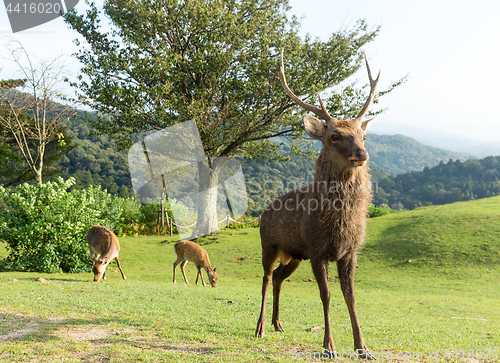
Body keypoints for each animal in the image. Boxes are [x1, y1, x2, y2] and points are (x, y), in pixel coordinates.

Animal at [256, 49, 380, 360]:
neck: (337, 225)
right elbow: (325, 294)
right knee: (265, 278)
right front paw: (329, 346)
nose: (362, 153)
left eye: (363, 135)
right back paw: (260, 327)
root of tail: (263, 212)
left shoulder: (349, 252)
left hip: (293, 255)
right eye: (334, 136)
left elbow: (351, 296)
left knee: (279, 277)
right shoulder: (316, 249)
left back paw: (277, 323)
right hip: (269, 245)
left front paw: (363, 348)